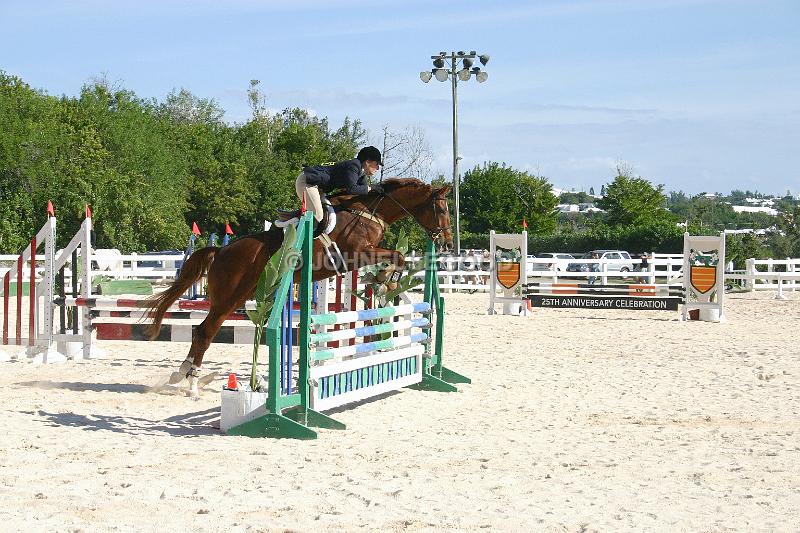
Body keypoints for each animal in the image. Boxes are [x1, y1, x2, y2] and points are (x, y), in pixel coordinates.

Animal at [145, 177, 454, 392]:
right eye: (440, 208)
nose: (448, 243)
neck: (368, 212)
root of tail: (221, 251)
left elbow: (396, 258)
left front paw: (383, 281)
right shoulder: (358, 252)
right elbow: (397, 256)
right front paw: (386, 279)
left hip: (241, 296)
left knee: (202, 331)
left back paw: (182, 373)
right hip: (229, 298)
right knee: (204, 332)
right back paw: (191, 379)